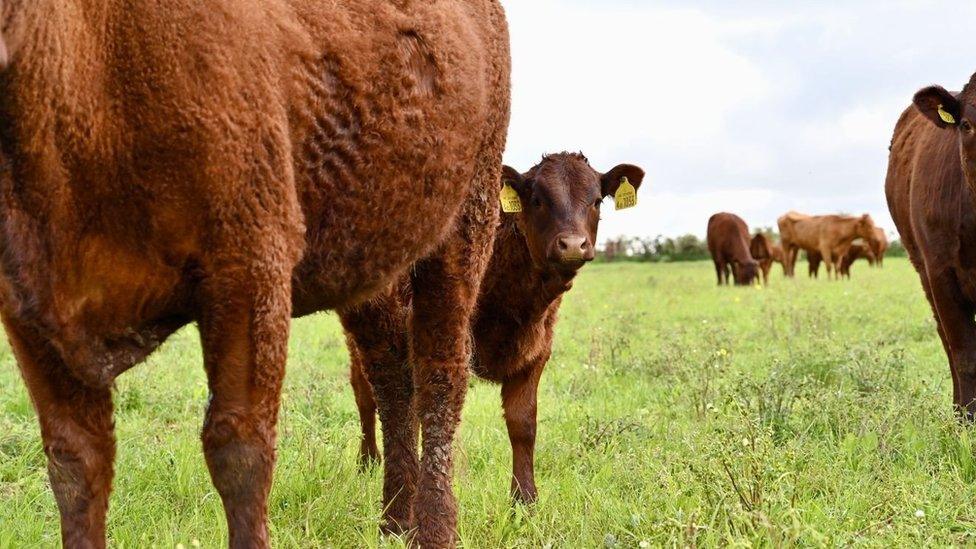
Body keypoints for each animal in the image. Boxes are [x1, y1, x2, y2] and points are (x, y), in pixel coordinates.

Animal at [0, 2, 516, 544]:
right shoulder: (34, 314)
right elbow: (76, 464)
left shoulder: (250, 272)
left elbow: (239, 448)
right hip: (373, 265)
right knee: (391, 376)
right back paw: (394, 520)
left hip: (466, 223)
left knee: (441, 373)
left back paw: (435, 530)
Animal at [346, 152, 648, 504]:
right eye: (537, 200)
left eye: (597, 201)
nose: (573, 245)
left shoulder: (537, 351)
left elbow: (523, 423)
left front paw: (525, 498)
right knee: (365, 393)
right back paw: (367, 460)